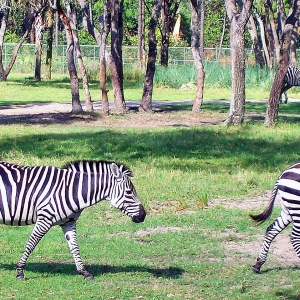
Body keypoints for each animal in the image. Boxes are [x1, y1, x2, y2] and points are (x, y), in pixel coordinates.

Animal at [0, 161, 146, 280]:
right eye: (129, 192)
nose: (143, 215)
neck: (69, 190)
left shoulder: (68, 222)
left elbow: (74, 246)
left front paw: (84, 272)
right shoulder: (45, 219)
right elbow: (31, 244)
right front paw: (20, 271)